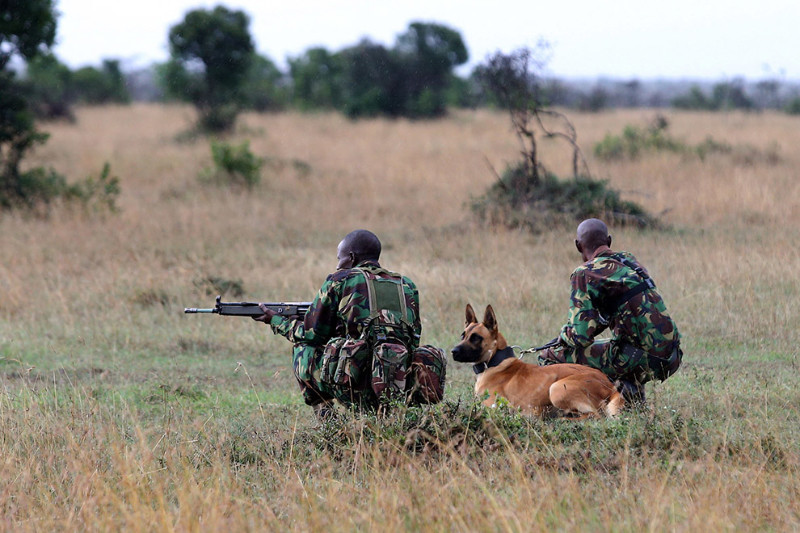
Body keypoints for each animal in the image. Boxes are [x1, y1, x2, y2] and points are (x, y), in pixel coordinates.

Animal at [450, 304, 624, 416]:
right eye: (463, 335)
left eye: (476, 338)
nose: (453, 351)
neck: (495, 361)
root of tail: (609, 385)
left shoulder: (491, 406)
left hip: (556, 389)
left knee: (595, 416)